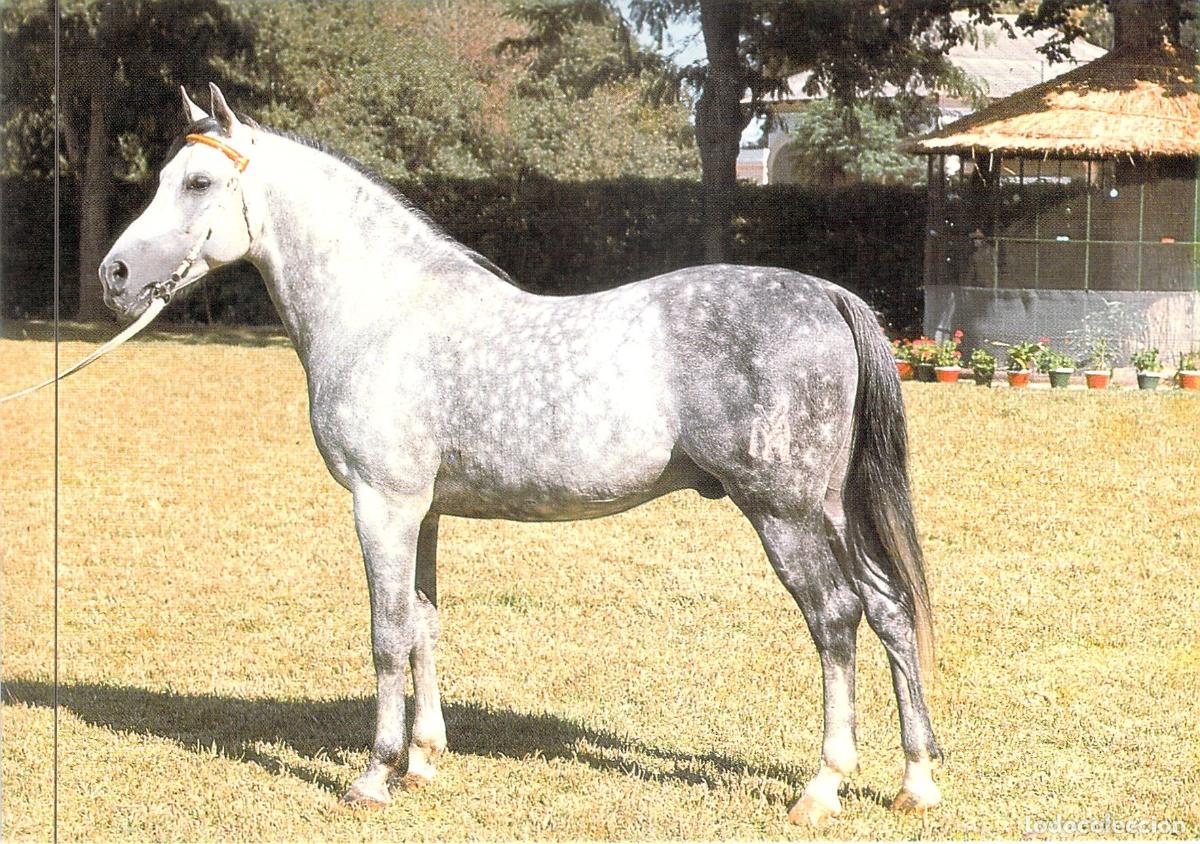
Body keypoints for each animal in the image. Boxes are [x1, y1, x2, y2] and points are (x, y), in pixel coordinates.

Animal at [99, 83, 941, 826]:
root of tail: (826, 295)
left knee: (835, 618)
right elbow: (424, 624)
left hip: (783, 512)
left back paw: (822, 788)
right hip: (831, 508)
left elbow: (385, 635)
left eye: (198, 181)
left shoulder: (382, 505)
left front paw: (375, 775)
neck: (383, 310)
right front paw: (424, 761)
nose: (115, 274)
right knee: (889, 609)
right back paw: (917, 781)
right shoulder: (424, 512)